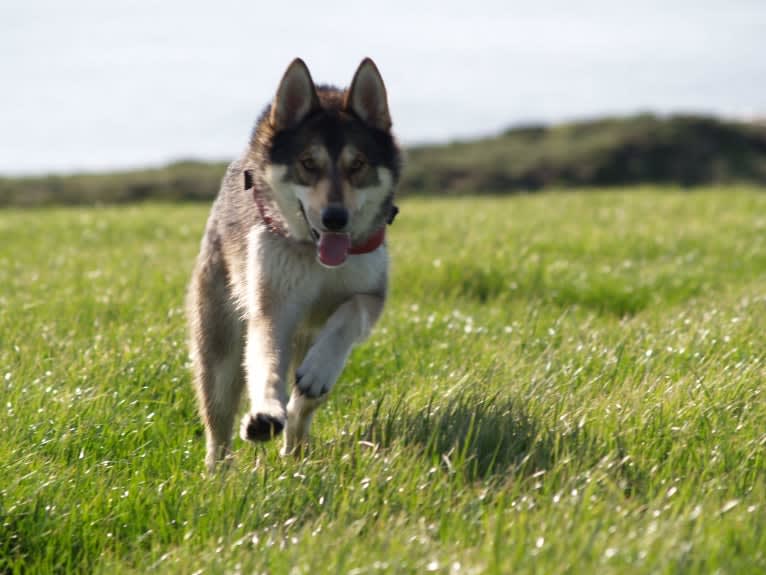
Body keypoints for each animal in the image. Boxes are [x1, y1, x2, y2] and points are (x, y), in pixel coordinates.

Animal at [188, 59, 402, 472]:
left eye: (357, 165)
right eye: (308, 164)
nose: (335, 218)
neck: (318, 259)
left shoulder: (371, 295)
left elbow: (349, 315)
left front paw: (317, 372)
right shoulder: (273, 305)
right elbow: (268, 360)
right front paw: (265, 414)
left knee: (304, 405)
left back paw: (296, 451)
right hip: (219, 345)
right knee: (218, 422)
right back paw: (219, 473)